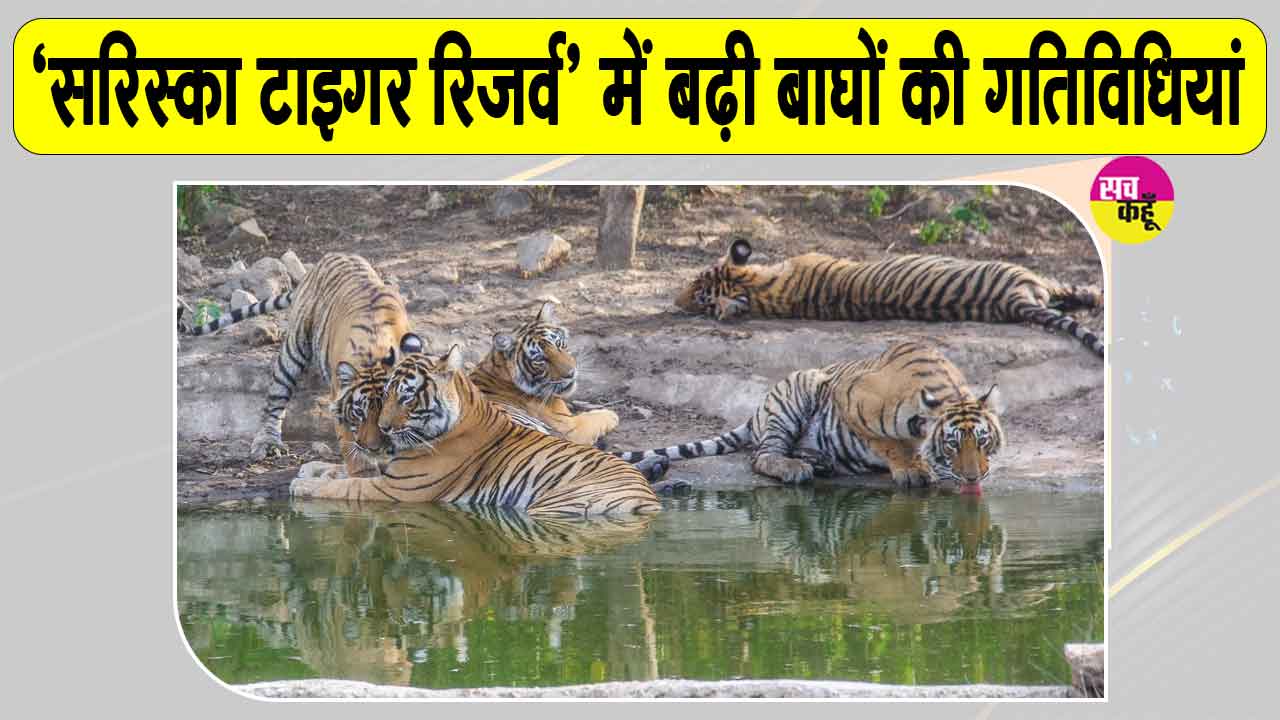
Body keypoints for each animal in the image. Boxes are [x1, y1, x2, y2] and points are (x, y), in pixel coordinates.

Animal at [179, 252, 423, 476]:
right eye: (358, 413)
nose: (375, 449)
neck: (377, 351)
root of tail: (324, 260)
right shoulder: (339, 400)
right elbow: (350, 445)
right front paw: (363, 474)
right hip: (293, 349)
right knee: (276, 398)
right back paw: (269, 443)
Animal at [289, 342, 663, 518]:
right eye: (384, 397)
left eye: (406, 395)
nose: (383, 429)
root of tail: (648, 498)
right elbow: (343, 472)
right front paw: (312, 470)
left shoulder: (397, 490)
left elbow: (346, 487)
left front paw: (303, 485)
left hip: (554, 506)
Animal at [469, 301, 620, 447]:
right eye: (539, 359)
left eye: (558, 343)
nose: (571, 373)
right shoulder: (572, 427)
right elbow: (595, 418)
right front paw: (611, 415)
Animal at [613, 341, 1005, 489]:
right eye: (952, 445)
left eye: (983, 442)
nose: (975, 478)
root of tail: (756, 412)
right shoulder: (850, 397)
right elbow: (886, 442)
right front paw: (911, 468)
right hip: (798, 390)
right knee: (761, 456)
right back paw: (796, 469)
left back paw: (820, 463)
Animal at [676, 239, 1104, 358]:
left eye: (697, 288)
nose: (677, 303)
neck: (763, 292)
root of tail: (1013, 302)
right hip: (1023, 275)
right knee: (1065, 291)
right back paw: (1095, 295)